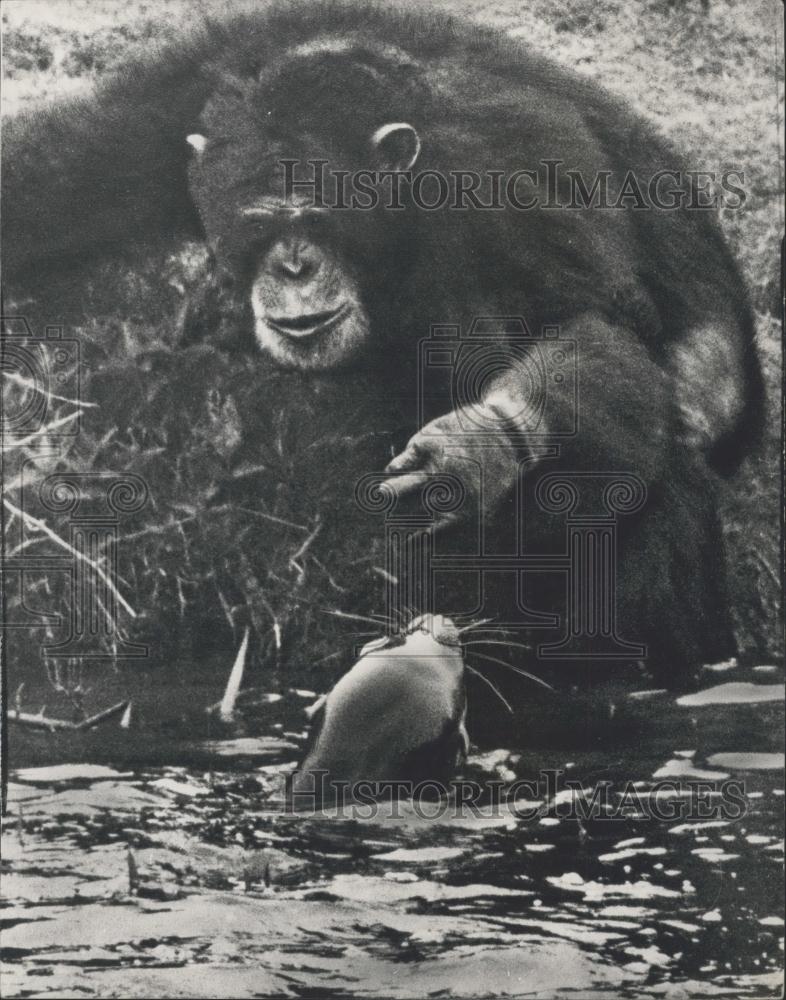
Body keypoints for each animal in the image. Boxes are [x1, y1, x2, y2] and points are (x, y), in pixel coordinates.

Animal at [0, 0, 760, 684]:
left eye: (316, 217)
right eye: (259, 225)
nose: (293, 266)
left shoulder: (496, 187)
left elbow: (596, 325)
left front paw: (478, 442)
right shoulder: (163, 110)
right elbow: (52, 174)